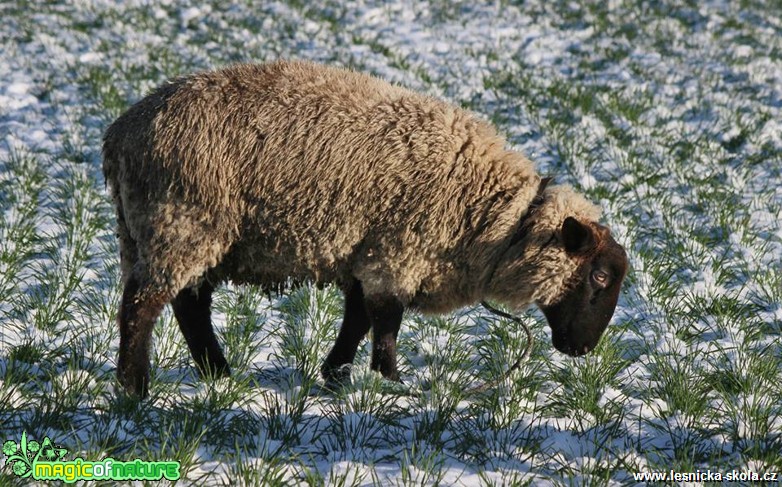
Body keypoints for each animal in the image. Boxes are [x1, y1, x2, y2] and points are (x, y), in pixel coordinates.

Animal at [102, 59, 632, 398]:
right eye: (600, 277)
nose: (583, 349)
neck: (497, 219)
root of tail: (120, 134)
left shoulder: (369, 251)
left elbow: (358, 318)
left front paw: (336, 374)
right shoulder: (397, 251)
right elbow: (386, 322)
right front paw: (391, 382)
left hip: (170, 232)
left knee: (188, 305)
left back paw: (217, 374)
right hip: (182, 222)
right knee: (143, 306)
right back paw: (136, 386)